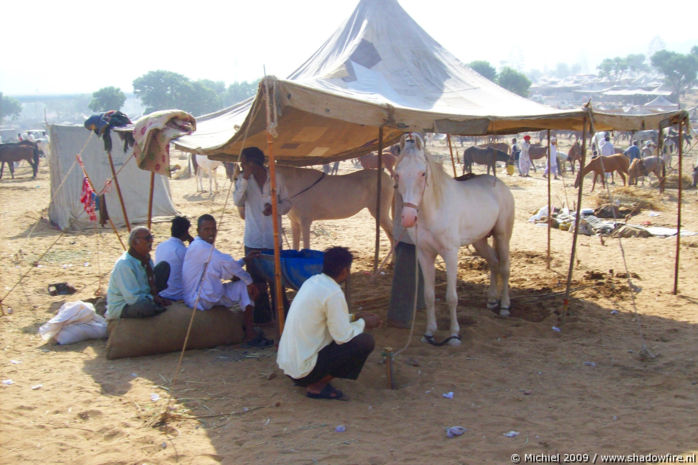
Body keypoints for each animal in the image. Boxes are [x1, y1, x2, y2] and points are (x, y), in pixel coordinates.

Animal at [394, 132, 512, 346]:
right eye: (397, 174)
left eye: (422, 173)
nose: (408, 218)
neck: (435, 209)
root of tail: (500, 184)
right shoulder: (425, 254)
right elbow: (429, 295)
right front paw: (429, 332)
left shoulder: (450, 254)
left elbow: (451, 297)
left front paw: (454, 334)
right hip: (480, 241)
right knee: (494, 262)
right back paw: (492, 300)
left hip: (502, 236)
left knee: (505, 267)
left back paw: (505, 307)